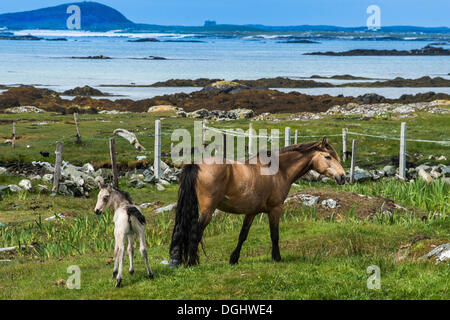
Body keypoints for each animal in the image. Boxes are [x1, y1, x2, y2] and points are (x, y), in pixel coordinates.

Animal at [169, 138, 344, 268]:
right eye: (328, 157)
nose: (343, 177)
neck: (278, 171)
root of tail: (196, 165)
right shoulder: (275, 209)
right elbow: (274, 235)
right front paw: (277, 257)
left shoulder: (251, 212)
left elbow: (243, 235)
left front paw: (234, 259)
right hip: (208, 210)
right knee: (195, 232)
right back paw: (191, 263)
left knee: (180, 231)